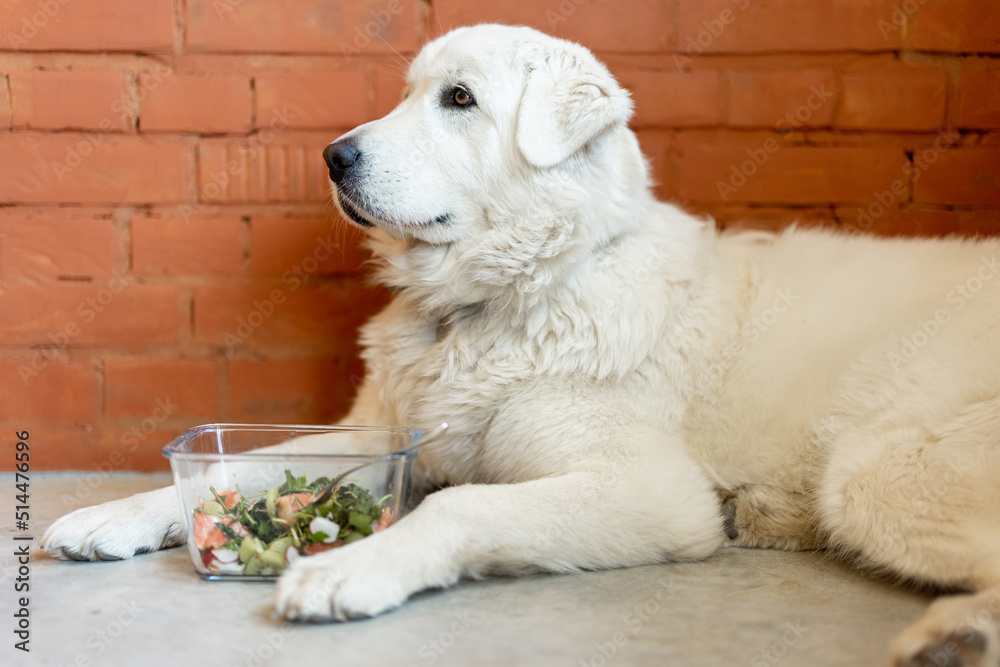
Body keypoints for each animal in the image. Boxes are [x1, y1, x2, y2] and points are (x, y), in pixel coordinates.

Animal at [45, 23, 1000, 664]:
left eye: (459, 99)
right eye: (409, 92)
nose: (332, 157)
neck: (490, 304)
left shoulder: (651, 491)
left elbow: (460, 504)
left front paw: (351, 567)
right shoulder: (375, 433)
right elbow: (234, 463)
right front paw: (114, 513)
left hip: (877, 469)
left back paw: (954, 631)